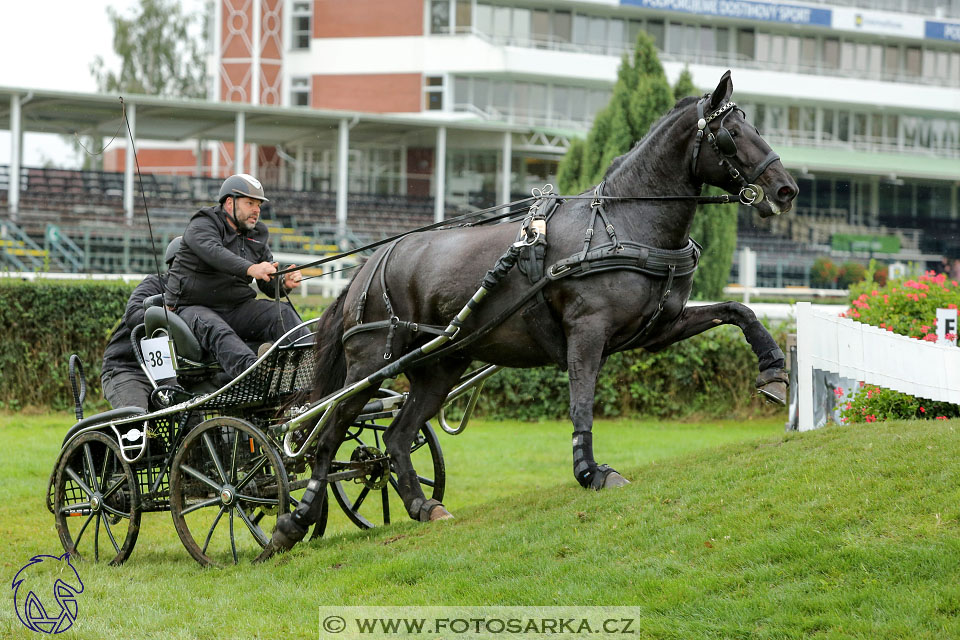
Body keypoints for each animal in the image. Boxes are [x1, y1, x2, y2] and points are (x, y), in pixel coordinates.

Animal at [268, 70, 796, 552]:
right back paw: (293, 520)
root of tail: (370, 262)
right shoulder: (587, 331)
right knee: (327, 430)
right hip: (372, 363)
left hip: (439, 365)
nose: (786, 189)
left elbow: (739, 310)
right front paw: (590, 471)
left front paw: (773, 372)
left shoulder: (656, 329)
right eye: (732, 133)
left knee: (396, 436)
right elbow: (581, 400)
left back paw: (422, 505)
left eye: (755, 127)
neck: (623, 222)